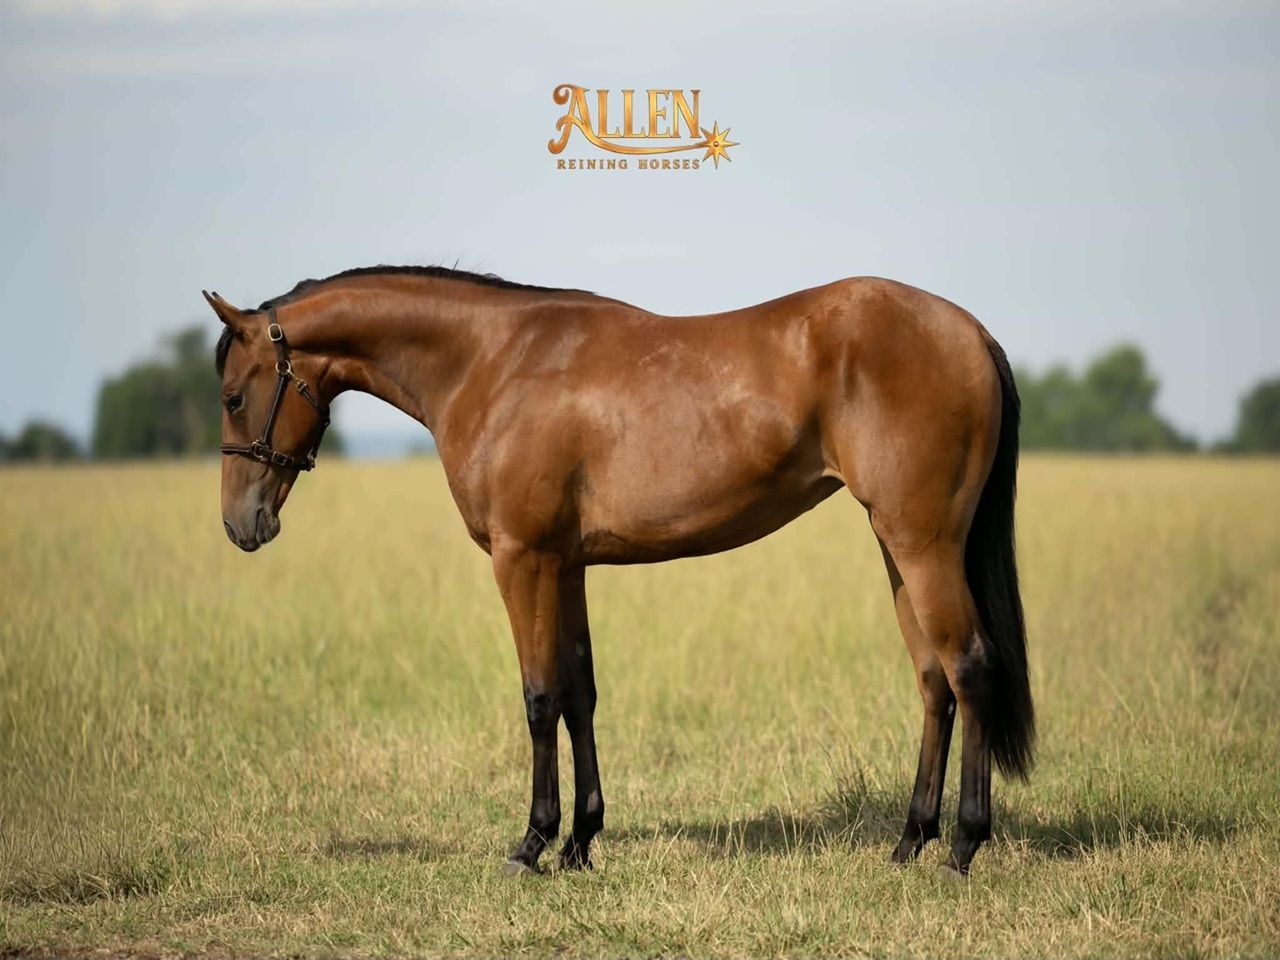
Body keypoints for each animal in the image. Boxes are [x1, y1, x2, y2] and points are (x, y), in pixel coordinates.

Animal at [207, 265, 1034, 875]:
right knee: (933, 682)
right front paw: (580, 842)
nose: (242, 524)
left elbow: (539, 697)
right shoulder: (566, 565)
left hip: (923, 544)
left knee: (970, 668)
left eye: (235, 396)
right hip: (898, 548)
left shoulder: (522, 559)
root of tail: (972, 332)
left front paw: (532, 844)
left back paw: (962, 847)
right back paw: (908, 841)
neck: (494, 363)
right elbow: (580, 693)